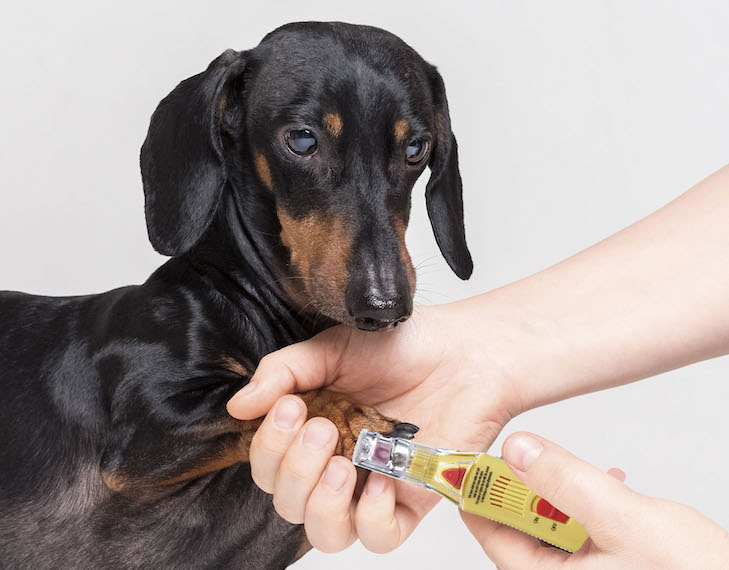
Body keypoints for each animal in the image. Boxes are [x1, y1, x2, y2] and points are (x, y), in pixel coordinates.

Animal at [0, 22, 472, 568]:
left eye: (416, 148)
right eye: (303, 140)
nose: (385, 305)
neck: (249, 298)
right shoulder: (144, 429)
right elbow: (270, 393)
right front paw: (349, 415)